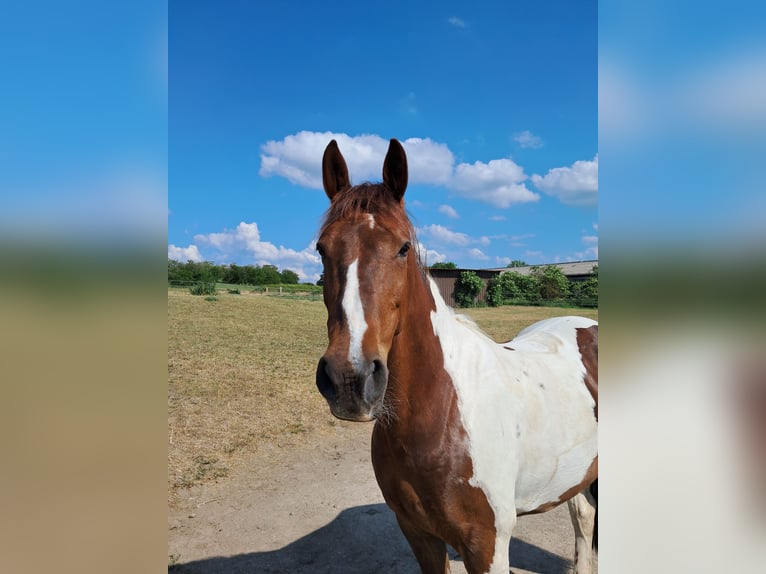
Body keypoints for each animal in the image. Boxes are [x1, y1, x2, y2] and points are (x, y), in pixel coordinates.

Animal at [314, 140, 600, 574]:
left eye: (403, 247)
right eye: (321, 249)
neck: (442, 412)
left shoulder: (486, 545)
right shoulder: (419, 536)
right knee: (584, 520)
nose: (350, 378)